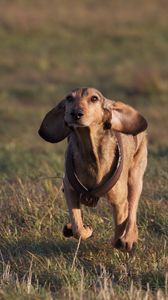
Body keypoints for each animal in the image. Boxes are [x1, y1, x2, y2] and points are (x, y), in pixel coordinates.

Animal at [38, 87, 148, 251]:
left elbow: (121, 226)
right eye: (69, 98)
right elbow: (78, 226)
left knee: (132, 210)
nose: (76, 113)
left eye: (94, 98)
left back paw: (129, 237)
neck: (90, 151)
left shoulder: (119, 202)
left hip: (135, 179)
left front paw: (121, 240)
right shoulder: (70, 190)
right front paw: (85, 229)